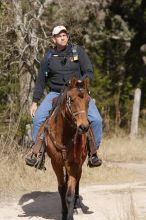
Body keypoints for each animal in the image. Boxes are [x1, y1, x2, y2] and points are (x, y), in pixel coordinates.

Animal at [40, 78, 90, 219]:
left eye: (88, 101)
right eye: (71, 100)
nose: (84, 127)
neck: (64, 135)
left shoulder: (73, 164)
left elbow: (70, 193)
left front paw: (70, 214)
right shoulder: (56, 163)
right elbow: (62, 189)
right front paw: (64, 213)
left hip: (79, 163)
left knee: (77, 181)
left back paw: (76, 206)